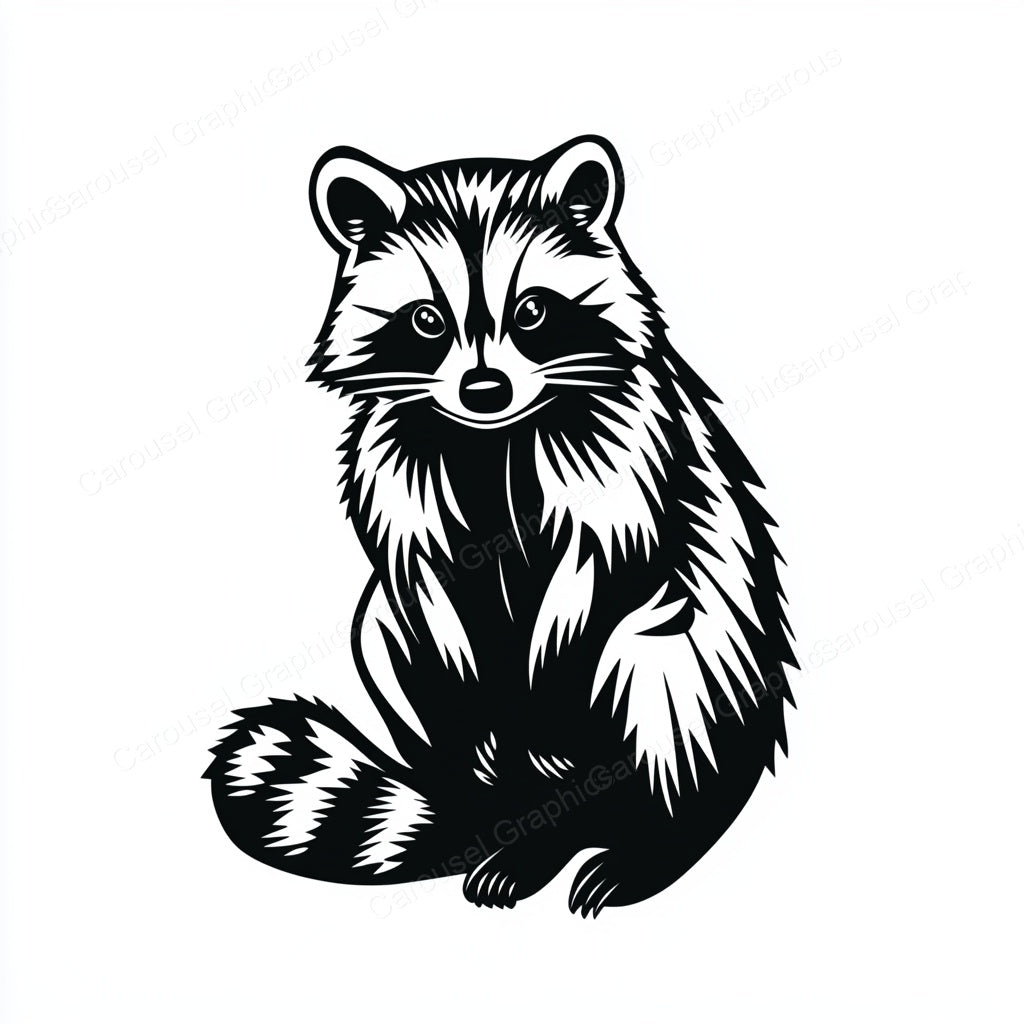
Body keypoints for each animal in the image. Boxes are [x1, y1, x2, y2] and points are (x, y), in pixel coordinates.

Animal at [205, 136, 796, 916]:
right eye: (426, 319)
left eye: (534, 311)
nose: (484, 390)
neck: (492, 439)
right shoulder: (406, 488)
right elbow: (439, 609)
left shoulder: (625, 459)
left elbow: (597, 582)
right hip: (401, 651)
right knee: (395, 641)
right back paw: (517, 828)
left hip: (702, 647)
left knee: (656, 671)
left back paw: (650, 838)